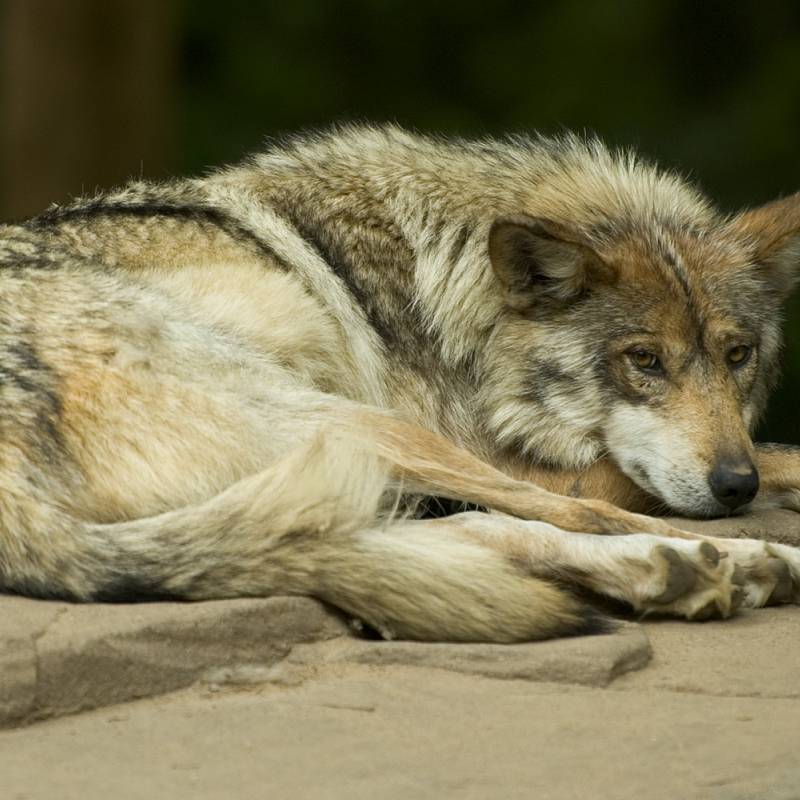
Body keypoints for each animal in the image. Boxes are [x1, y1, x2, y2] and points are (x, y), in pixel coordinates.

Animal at [1, 124, 800, 642]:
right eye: (645, 361)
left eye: (737, 355)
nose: (734, 486)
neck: (445, 287)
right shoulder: (505, 454)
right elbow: (766, 460)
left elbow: (775, 454)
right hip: (350, 423)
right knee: (569, 517)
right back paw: (740, 563)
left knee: (462, 532)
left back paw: (674, 573)